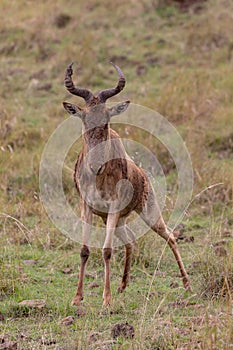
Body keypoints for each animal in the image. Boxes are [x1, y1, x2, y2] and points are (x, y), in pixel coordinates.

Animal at [62, 62, 191, 306]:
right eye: (85, 119)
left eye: (106, 119)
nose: (95, 166)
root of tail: (144, 175)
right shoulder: (86, 207)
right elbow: (84, 250)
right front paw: (77, 297)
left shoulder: (113, 207)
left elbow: (106, 250)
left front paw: (106, 300)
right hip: (116, 220)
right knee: (131, 241)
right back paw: (122, 285)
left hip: (149, 214)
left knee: (170, 237)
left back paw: (187, 284)